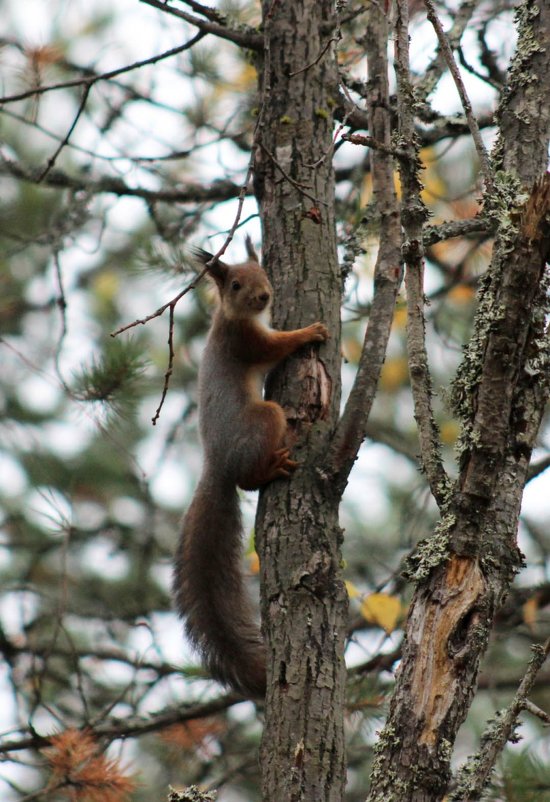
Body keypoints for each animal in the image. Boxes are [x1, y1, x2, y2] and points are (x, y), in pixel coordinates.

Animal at [175, 238, 330, 692]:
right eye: (235, 284)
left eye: (264, 276)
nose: (264, 296)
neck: (233, 316)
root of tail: (216, 465)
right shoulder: (245, 341)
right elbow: (276, 346)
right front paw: (310, 332)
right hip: (265, 419)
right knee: (247, 480)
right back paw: (271, 469)